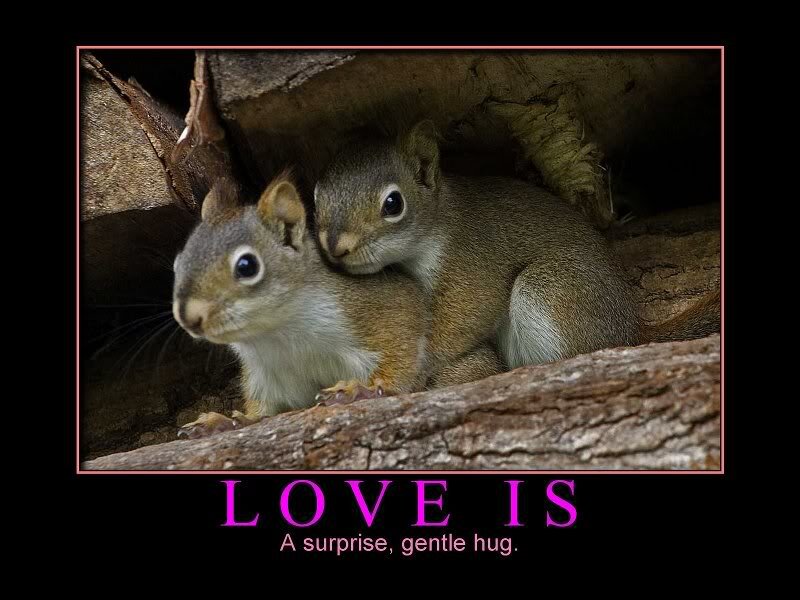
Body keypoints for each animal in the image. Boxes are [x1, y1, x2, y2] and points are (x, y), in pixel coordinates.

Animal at [171, 173, 432, 438]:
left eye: (247, 266)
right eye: (178, 262)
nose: (187, 317)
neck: (277, 334)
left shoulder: (380, 311)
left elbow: (401, 354)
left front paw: (363, 390)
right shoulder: (266, 375)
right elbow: (262, 410)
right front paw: (226, 421)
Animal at [314, 120, 719, 378]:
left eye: (393, 203)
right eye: (317, 195)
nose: (335, 246)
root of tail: (632, 335)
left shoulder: (470, 263)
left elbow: (467, 315)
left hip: (550, 288)